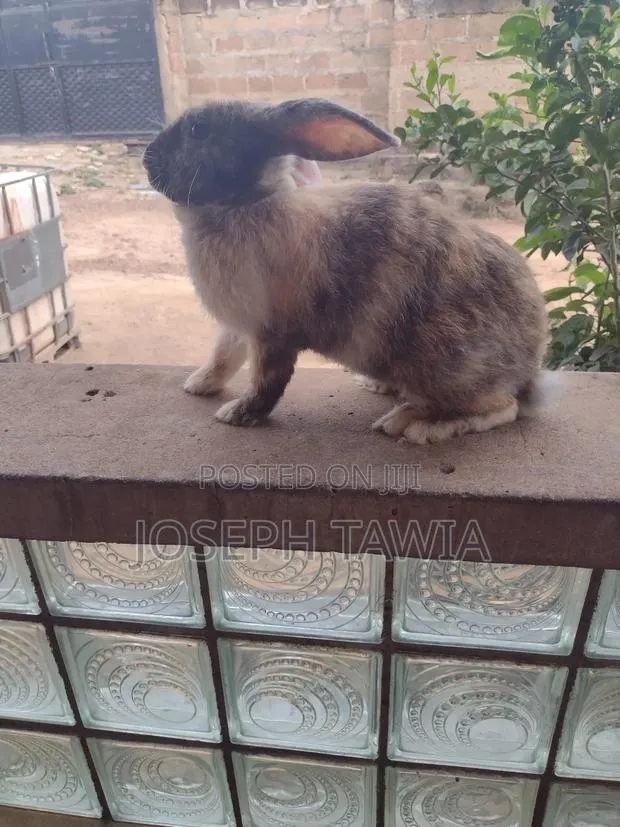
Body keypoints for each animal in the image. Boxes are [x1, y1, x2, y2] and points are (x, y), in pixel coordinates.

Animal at [143, 98, 547, 445]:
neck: (245, 203)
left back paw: (417, 425)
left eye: (198, 130)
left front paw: (236, 414)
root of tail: (529, 364)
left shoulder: (272, 334)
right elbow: (223, 357)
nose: (147, 158)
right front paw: (197, 385)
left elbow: (266, 383)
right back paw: (382, 390)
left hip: (446, 366)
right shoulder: (237, 328)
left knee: (502, 407)